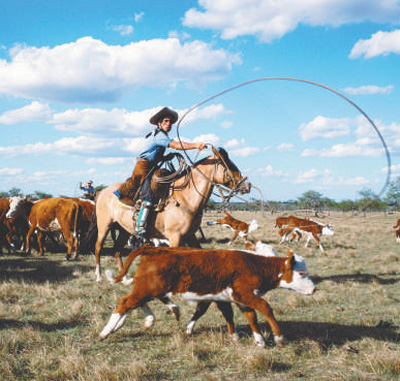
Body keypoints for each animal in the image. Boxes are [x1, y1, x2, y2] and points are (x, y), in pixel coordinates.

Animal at [85, 147, 252, 280]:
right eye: (228, 164)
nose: (247, 185)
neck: (184, 198)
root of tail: (101, 192)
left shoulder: (190, 236)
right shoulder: (175, 237)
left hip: (125, 229)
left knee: (117, 249)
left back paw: (124, 277)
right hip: (104, 226)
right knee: (98, 247)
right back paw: (99, 276)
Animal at [100, 245, 316, 346]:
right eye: (301, 273)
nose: (314, 289)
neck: (252, 264)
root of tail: (156, 248)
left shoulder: (231, 298)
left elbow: (246, 316)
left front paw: (253, 339)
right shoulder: (244, 293)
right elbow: (265, 308)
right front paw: (278, 338)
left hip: (149, 288)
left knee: (135, 304)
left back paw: (151, 319)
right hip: (147, 288)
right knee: (125, 303)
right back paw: (105, 332)